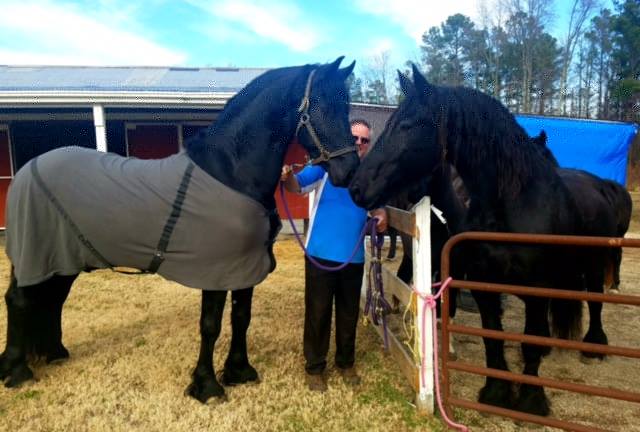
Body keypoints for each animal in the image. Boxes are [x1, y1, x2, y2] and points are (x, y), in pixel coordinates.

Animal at [0, 57, 360, 404]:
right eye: (322, 106)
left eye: (346, 107)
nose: (349, 172)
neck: (231, 172)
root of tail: (30, 169)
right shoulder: (216, 271)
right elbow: (211, 325)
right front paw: (207, 387)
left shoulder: (245, 269)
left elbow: (241, 317)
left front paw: (239, 371)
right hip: (37, 254)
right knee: (19, 299)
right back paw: (16, 371)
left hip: (64, 260)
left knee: (52, 299)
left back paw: (53, 353)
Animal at [349, 64, 589, 416]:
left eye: (406, 125)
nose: (356, 186)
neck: (509, 207)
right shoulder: (481, 284)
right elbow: (491, 336)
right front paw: (496, 391)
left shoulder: (535, 290)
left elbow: (530, 342)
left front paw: (531, 399)